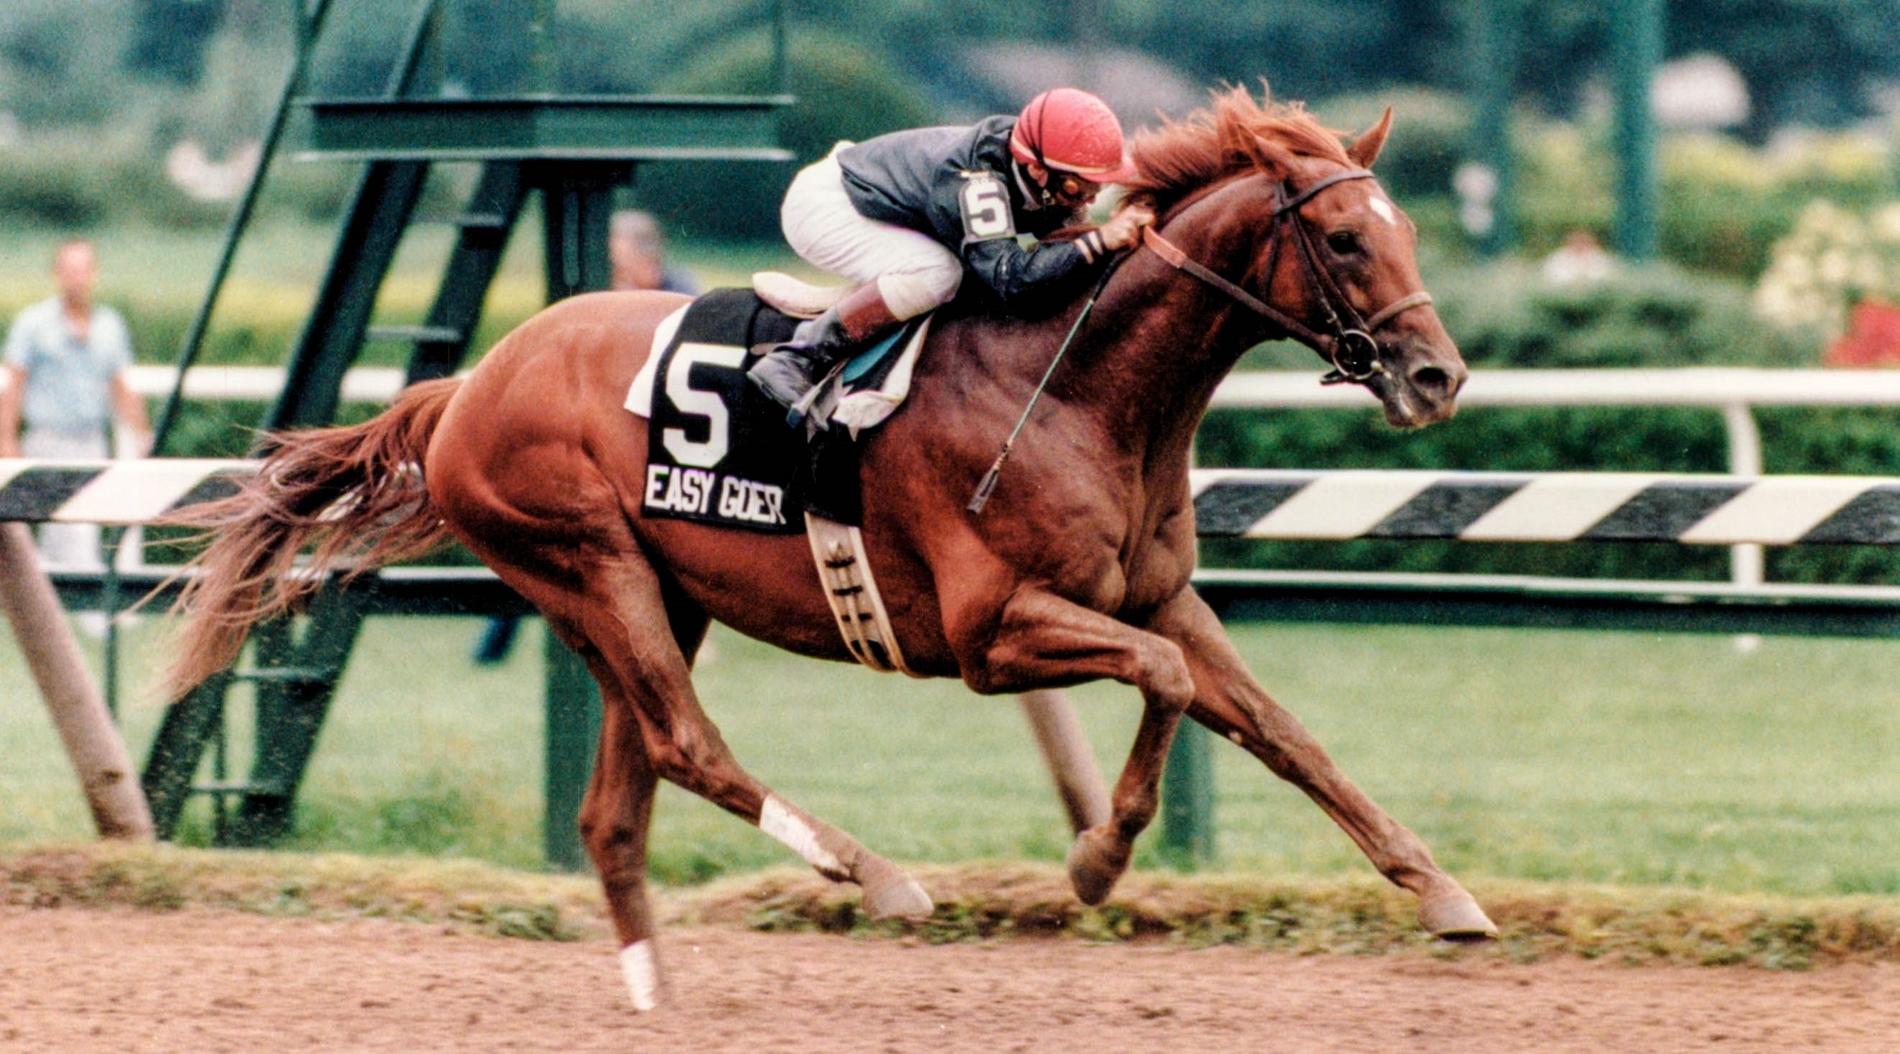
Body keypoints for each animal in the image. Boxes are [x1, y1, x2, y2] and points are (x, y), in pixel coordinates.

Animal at [165, 87, 1490, 1010]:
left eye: (1406, 231)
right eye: (1345, 239)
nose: (1439, 377)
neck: (1082, 389)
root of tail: (470, 383)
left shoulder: (1160, 600)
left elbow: (1279, 731)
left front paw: (1441, 892)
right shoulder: (991, 633)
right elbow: (1163, 687)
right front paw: (1096, 861)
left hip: (650, 593)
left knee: (616, 807)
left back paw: (656, 991)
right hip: (587, 564)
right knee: (688, 746)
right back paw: (881, 875)